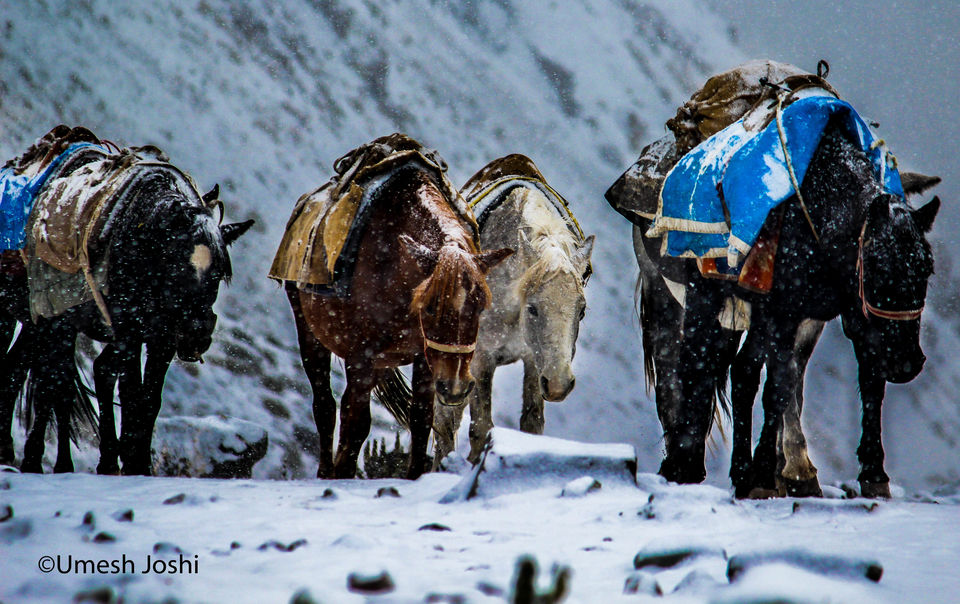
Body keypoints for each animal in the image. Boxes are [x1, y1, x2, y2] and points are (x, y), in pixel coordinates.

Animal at [0, 130, 251, 474]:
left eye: (218, 274)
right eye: (175, 265)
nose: (196, 336)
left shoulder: (161, 339)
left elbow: (149, 398)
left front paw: (138, 461)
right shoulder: (129, 333)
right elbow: (130, 393)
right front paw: (131, 463)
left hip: (46, 326)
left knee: (29, 373)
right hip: (39, 321)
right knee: (53, 383)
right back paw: (43, 461)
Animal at [284, 144, 512, 478]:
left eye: (481, 305)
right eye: (430, 307)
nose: (456, 387)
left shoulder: (426, 359)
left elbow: (421, 420)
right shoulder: (360, 357)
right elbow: (355, 424)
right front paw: (342, 474)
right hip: (310, 333)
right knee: (325, 405)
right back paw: (327, 470)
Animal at [434, 157, 592, 468]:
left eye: (581, 311)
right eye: (532, 308)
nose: (559, 385)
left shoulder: (534, 361)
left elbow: (532, 423)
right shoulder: (481, 359)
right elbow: (480, 428)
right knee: (444, 421)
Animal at [616, 115, 936, 498]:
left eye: (928, 268)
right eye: (876, 266)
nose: (907, 363)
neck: (822, 211)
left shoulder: (847, 315)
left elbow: (864, 381)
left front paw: (870, 473)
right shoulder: (785, 311)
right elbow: (777, 385)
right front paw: (770, 472)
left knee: (735, 369)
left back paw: (738, 470)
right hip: (683, 295)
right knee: (686, 367)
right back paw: (685, 463)